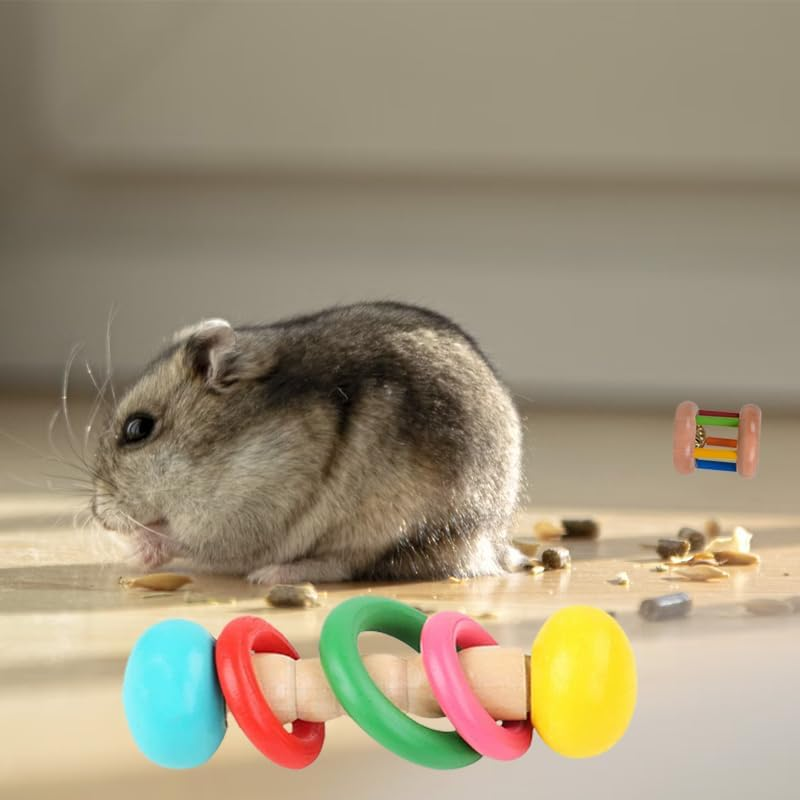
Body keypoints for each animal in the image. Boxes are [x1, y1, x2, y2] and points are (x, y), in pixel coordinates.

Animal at [90, 302, 523, 584]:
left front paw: (140, 548)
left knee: (347, 566)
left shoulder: (249, 508)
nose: (98, 516)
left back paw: (272, 574)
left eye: (138, 428)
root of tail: (492, 540)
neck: (222, 455)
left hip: (389, 527)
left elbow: (185, 537)